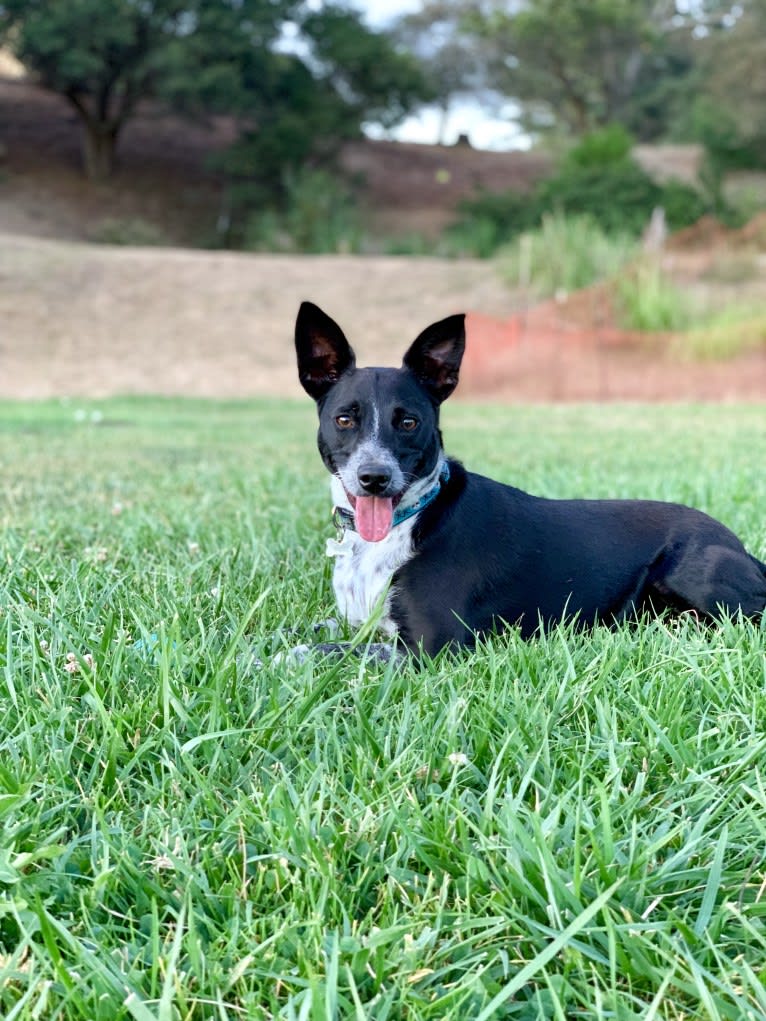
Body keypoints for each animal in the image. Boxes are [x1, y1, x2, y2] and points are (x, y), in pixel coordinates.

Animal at [296, 298, 766, 657]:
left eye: (408, 422)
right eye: (344, 419)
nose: (374, 477)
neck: (409, 519)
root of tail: (736, 543)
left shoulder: (432, 645)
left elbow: (322, 651)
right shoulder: (355, 622)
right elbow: (307, 632)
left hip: (694, 576)